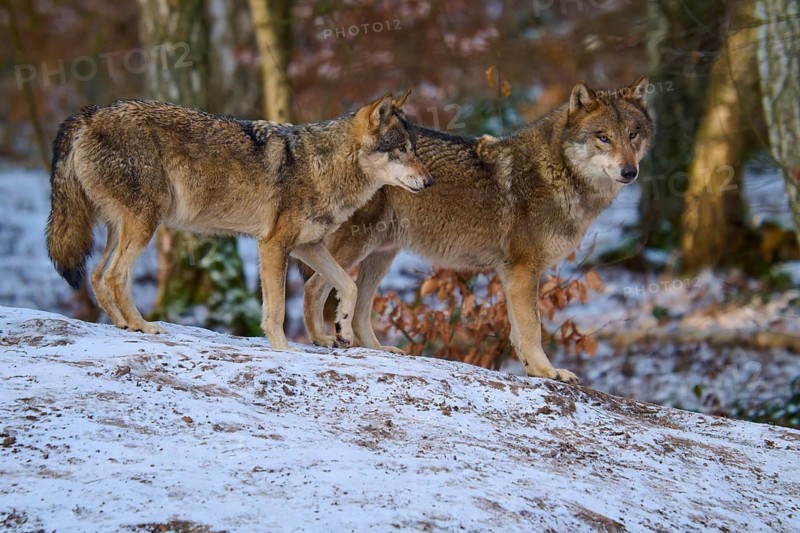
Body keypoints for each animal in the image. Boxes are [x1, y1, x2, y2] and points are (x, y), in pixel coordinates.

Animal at [46, 93, 432, 352]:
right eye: (401, 150)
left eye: (414, 148)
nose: (430, 182)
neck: (324, 167)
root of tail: (89, 115)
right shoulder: (273, 245)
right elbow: (276, 310)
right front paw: (283, 350)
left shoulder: (308, 245)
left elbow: (347, 286)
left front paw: (342, 330)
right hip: (143, 226)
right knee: (114, 276)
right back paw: (143, 325)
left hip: (121, 228)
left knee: (97, 276)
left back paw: (126, 325)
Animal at [303, 78, 653, 383]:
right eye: (603, 137)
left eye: (633, 134)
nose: (630, 172)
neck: (558, 172)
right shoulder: (524, 270)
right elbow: (532, 329)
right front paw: (547, 372)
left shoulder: (512, 273)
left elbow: (517, 333)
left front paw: (533, 371)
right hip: (357, 247)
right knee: (313, 287)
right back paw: (321, 339)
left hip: (383, 254)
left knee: (359, 307)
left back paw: (379, 350)